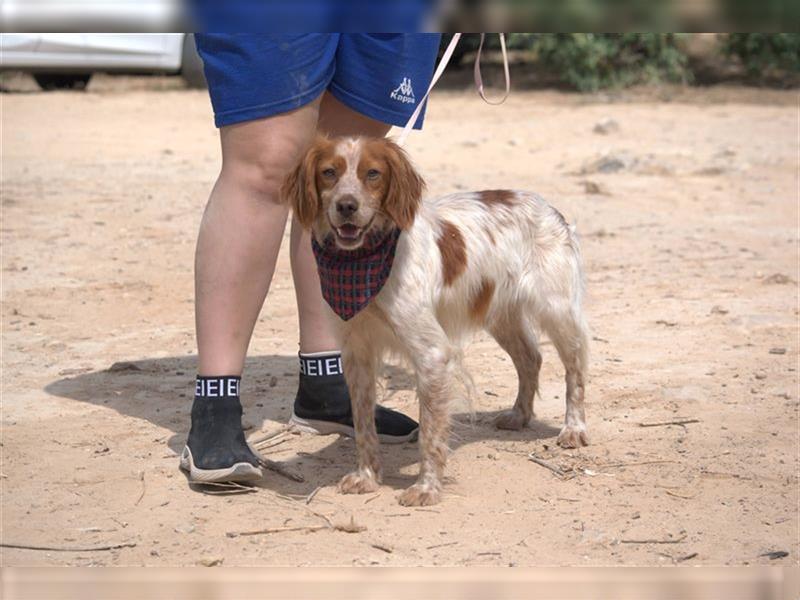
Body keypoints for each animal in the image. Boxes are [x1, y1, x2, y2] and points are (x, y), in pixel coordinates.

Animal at [282, 136, 588, 506]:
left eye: (373, 173)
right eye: (329, 172)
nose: (347, 206)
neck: (365, 262)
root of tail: (548, 207)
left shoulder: (431, 354)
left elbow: (430, 430)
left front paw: (426, 488)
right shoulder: (357, 353)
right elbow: (363, 424)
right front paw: (367, 477)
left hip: (557, 310)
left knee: (575, 370)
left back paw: (574, 428)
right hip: (500, 314)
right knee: (531, 358)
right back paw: (519, 415)